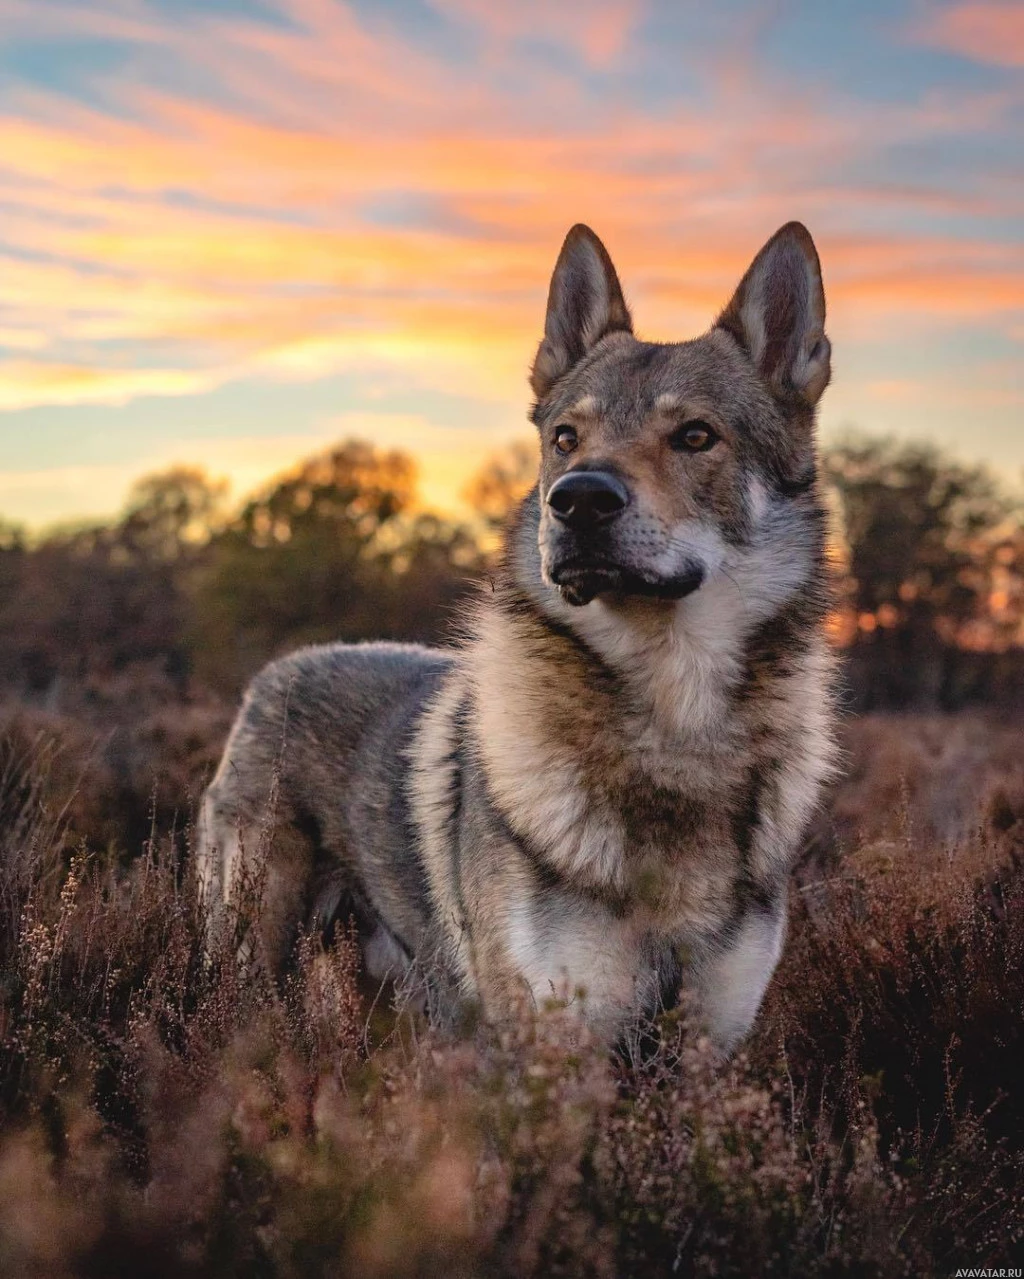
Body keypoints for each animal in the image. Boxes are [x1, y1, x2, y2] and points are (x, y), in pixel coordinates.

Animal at [198, 222, 838, 1048]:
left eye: (696, 435)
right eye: (566, 437)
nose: (580, 499)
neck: (671, 730)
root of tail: (279, 670)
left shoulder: (714, 1038)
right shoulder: (549, 1034)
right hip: (253, 964)